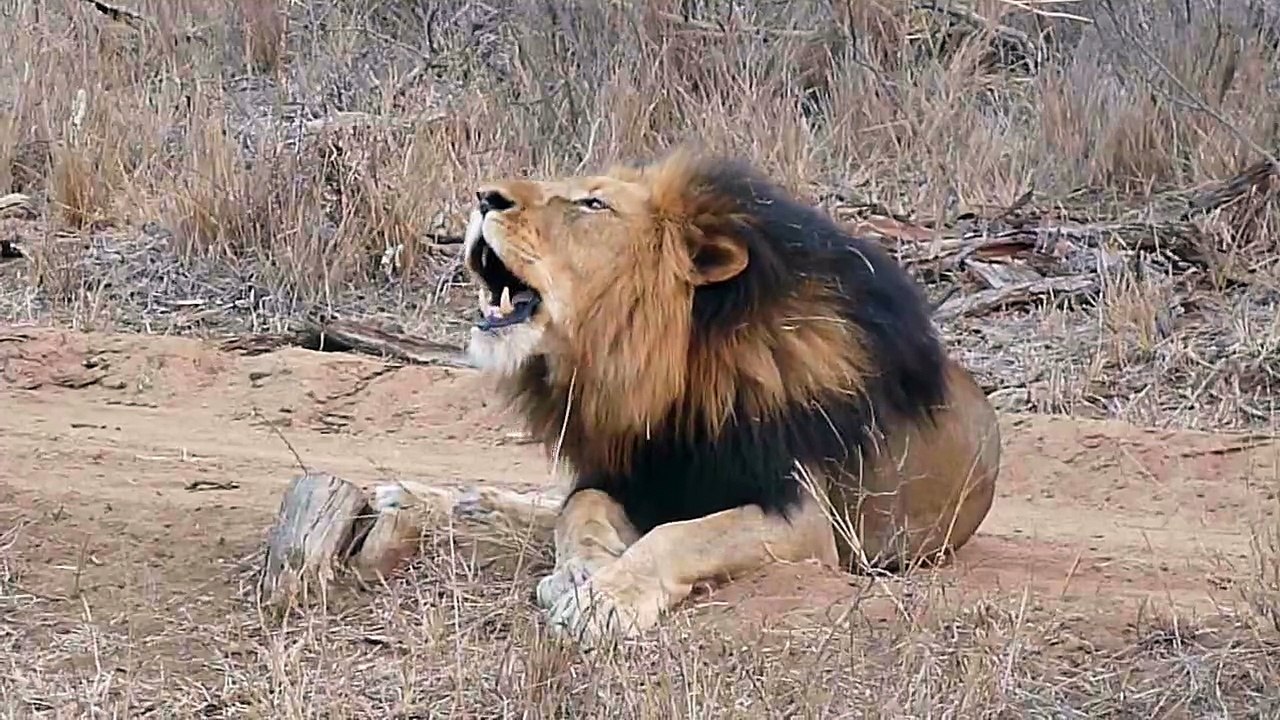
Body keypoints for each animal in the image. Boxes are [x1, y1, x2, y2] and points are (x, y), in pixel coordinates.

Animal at [460, 148, 1001, 647]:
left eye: (594, 203)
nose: (485, 196)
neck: (662, 374)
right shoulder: (623, 476)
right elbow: (579, 509)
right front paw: (580, 571)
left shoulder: (804, 520)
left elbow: (681, 536)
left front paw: (603, 602)